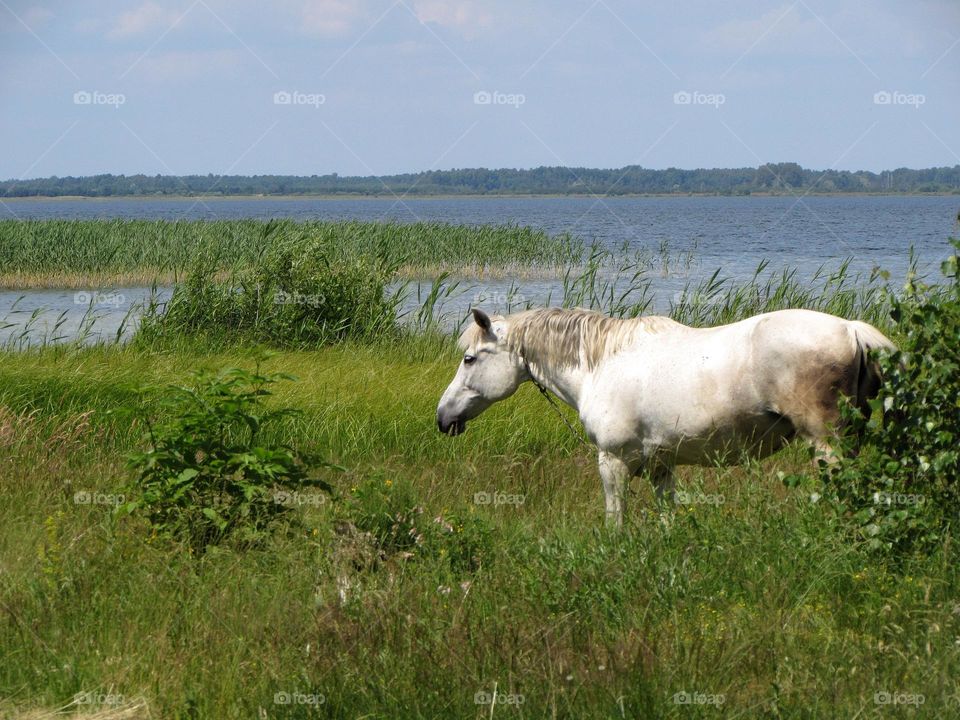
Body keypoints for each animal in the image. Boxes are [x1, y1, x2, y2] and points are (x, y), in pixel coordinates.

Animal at [436, 307, 895, 527]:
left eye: (469, 358)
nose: (443, 417)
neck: (601, 364)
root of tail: (851, 328)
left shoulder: (612, 461)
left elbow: (615, 518)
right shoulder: (661, 466)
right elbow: (667, 516)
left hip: (827, 445)